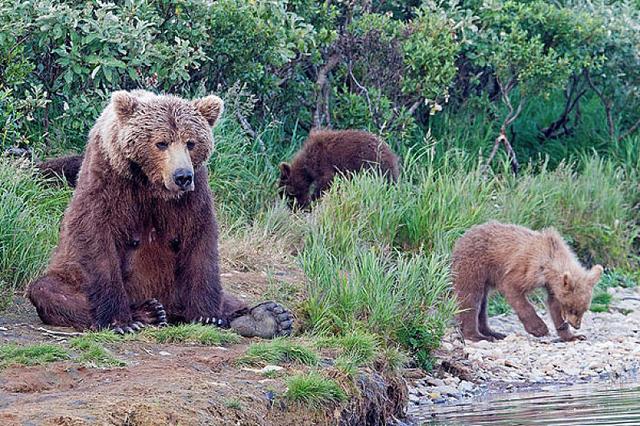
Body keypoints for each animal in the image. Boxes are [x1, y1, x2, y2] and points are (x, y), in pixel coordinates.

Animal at [26, 89, 292, 336]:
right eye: (161, 142)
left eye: (191, 142)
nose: (182, 176)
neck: (151, 184)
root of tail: (171, 308)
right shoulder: (108, 180)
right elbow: (96, 236)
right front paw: (121, 322)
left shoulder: (194, 194)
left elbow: (201, 240)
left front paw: (208, 316)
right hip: (69, 273)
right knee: (49, 290)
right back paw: (148, 312)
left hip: (176, 285)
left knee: (227, 297)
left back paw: (269, 317)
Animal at [452, 223, 604, 342]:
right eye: (573, 309)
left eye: (584, 309)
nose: (576, 325)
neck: (550, 261)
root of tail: (463, 236)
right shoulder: (527, 269)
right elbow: (513, 289)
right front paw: (539, 328)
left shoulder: (551, 285)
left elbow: (553, 305)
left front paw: (573, 336)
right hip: (474, 265)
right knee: (471, 297)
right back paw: (476, 335)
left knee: (483, 303)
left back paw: (493, 333)